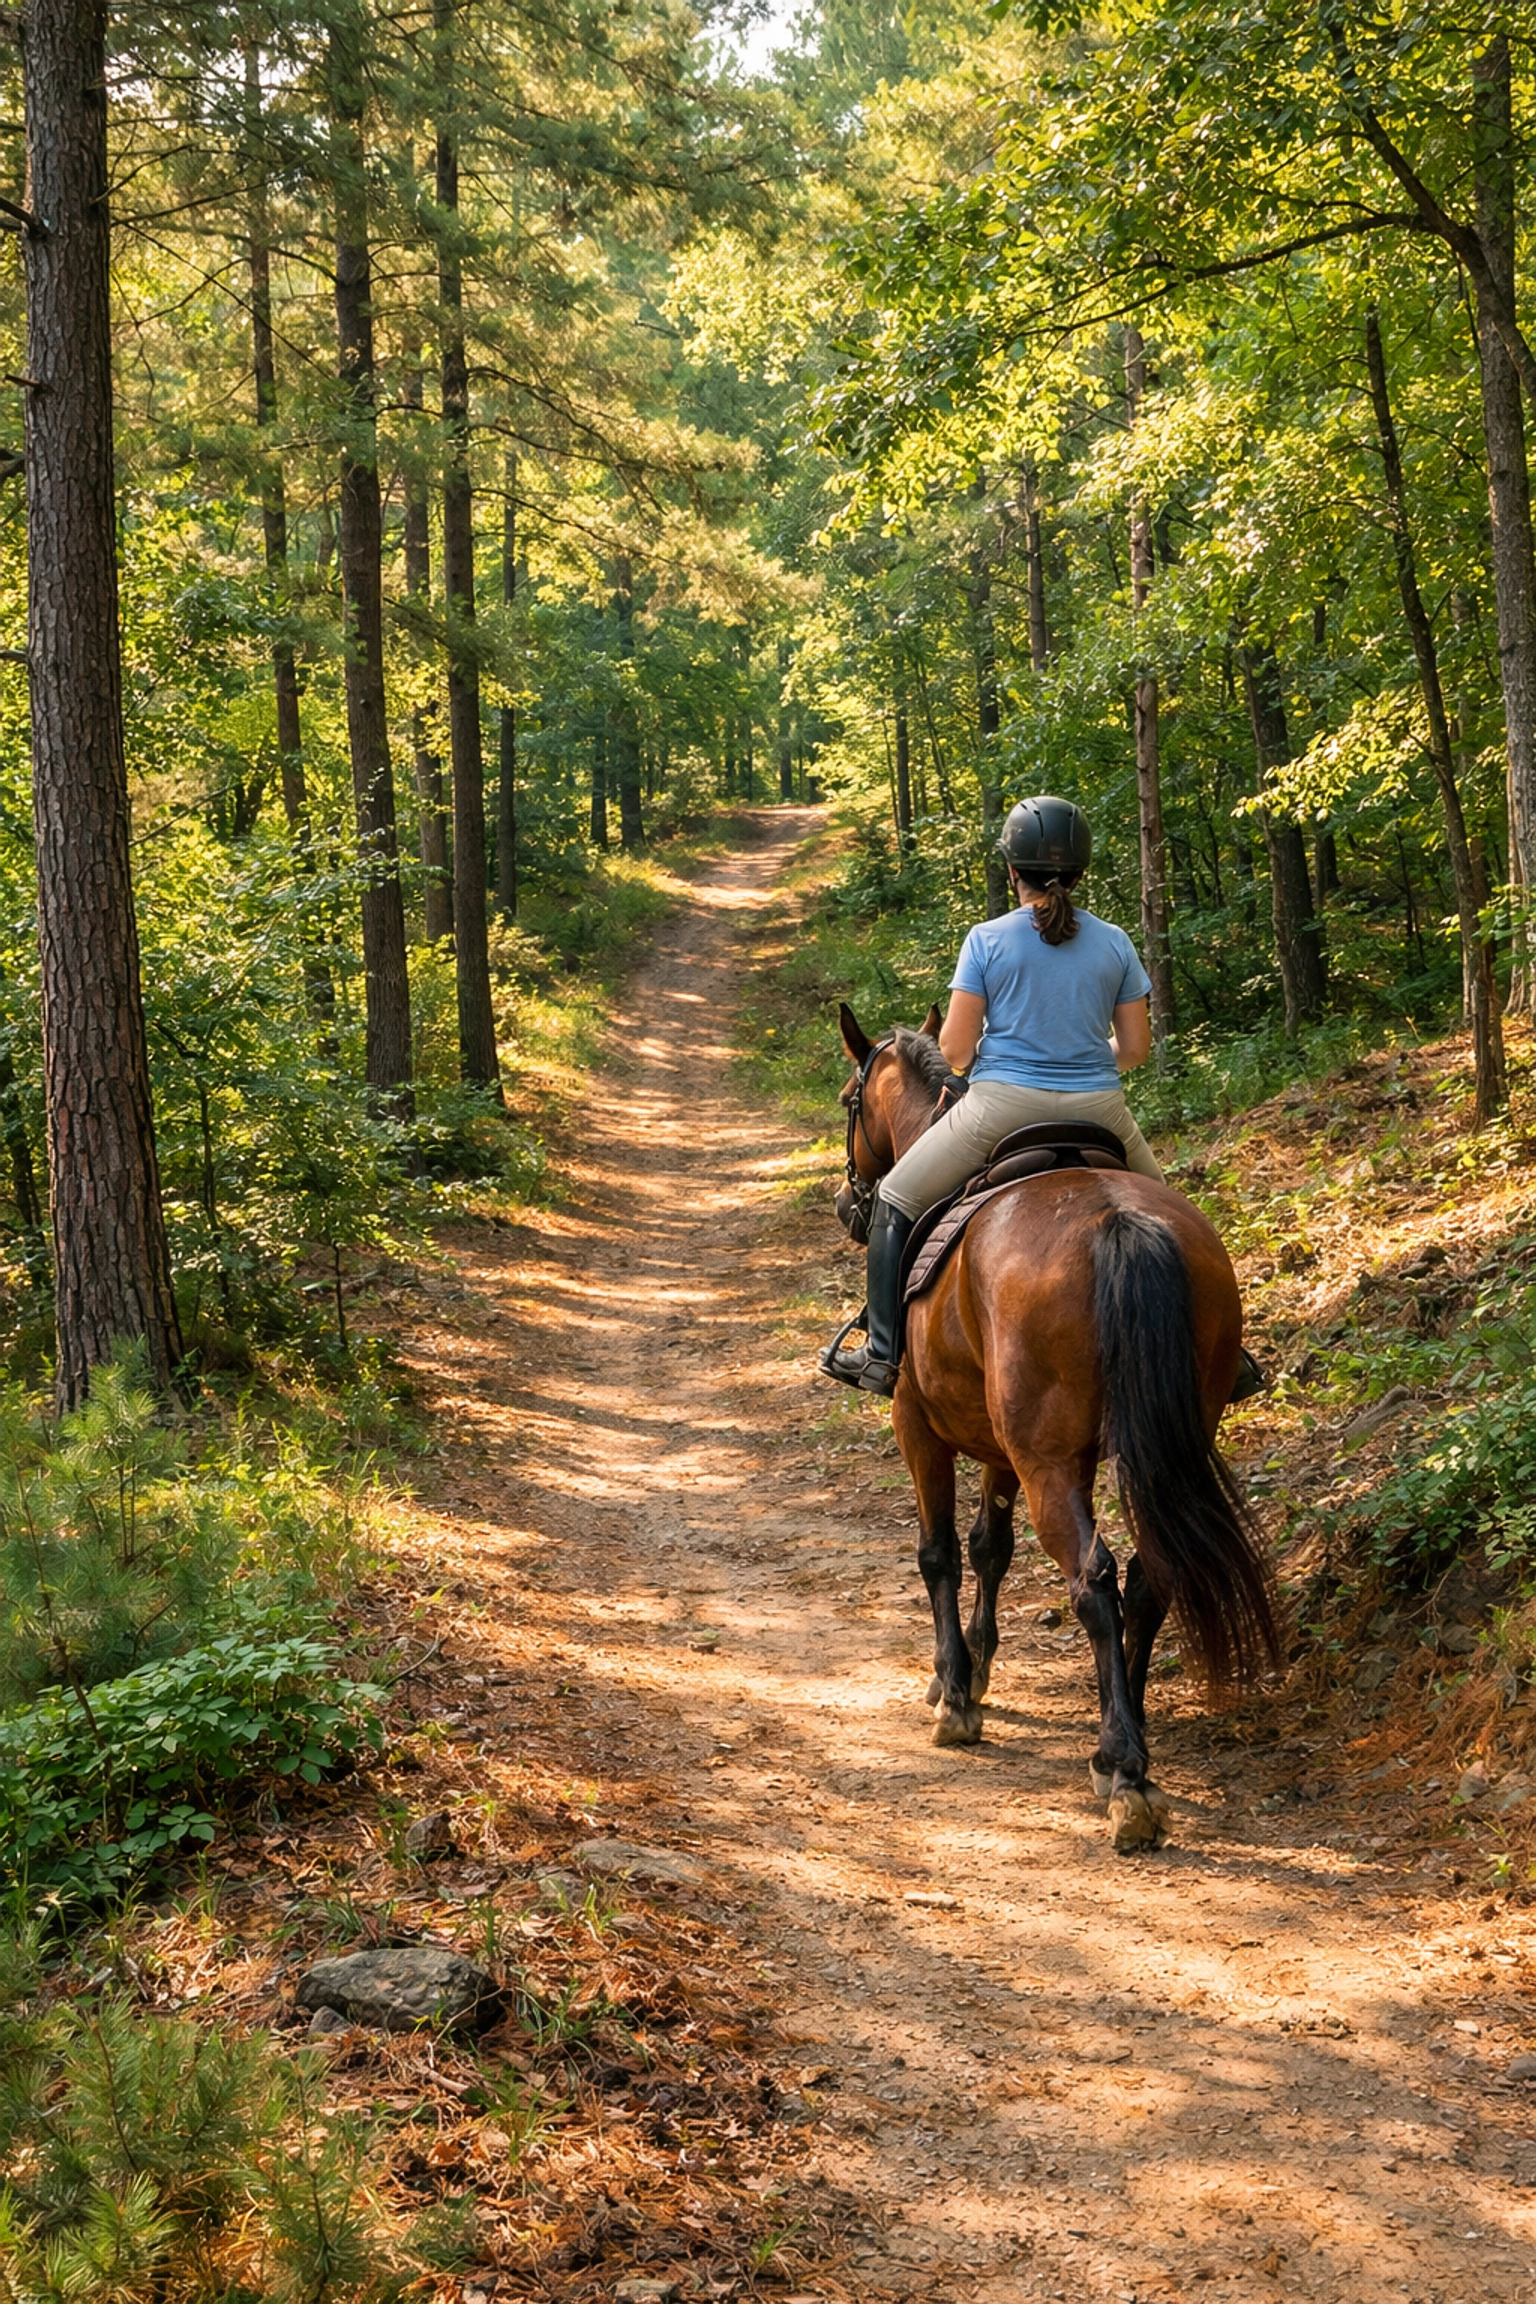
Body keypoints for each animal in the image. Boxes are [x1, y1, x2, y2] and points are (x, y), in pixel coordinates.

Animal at [832, 1002, 1279, 1854]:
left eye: (848, 1101)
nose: (849, 1206)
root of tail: (1119, 1219)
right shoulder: (998, 1445)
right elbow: (990, 1548)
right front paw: (972, 1670)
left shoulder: (919, 1425)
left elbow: (940, 1552)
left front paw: (955, 1693)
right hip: (1144, 1445)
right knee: (1150, 1575)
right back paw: (1122, 1742)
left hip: (1048, 1460)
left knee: (1095, 1580)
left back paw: (1125, 1770)